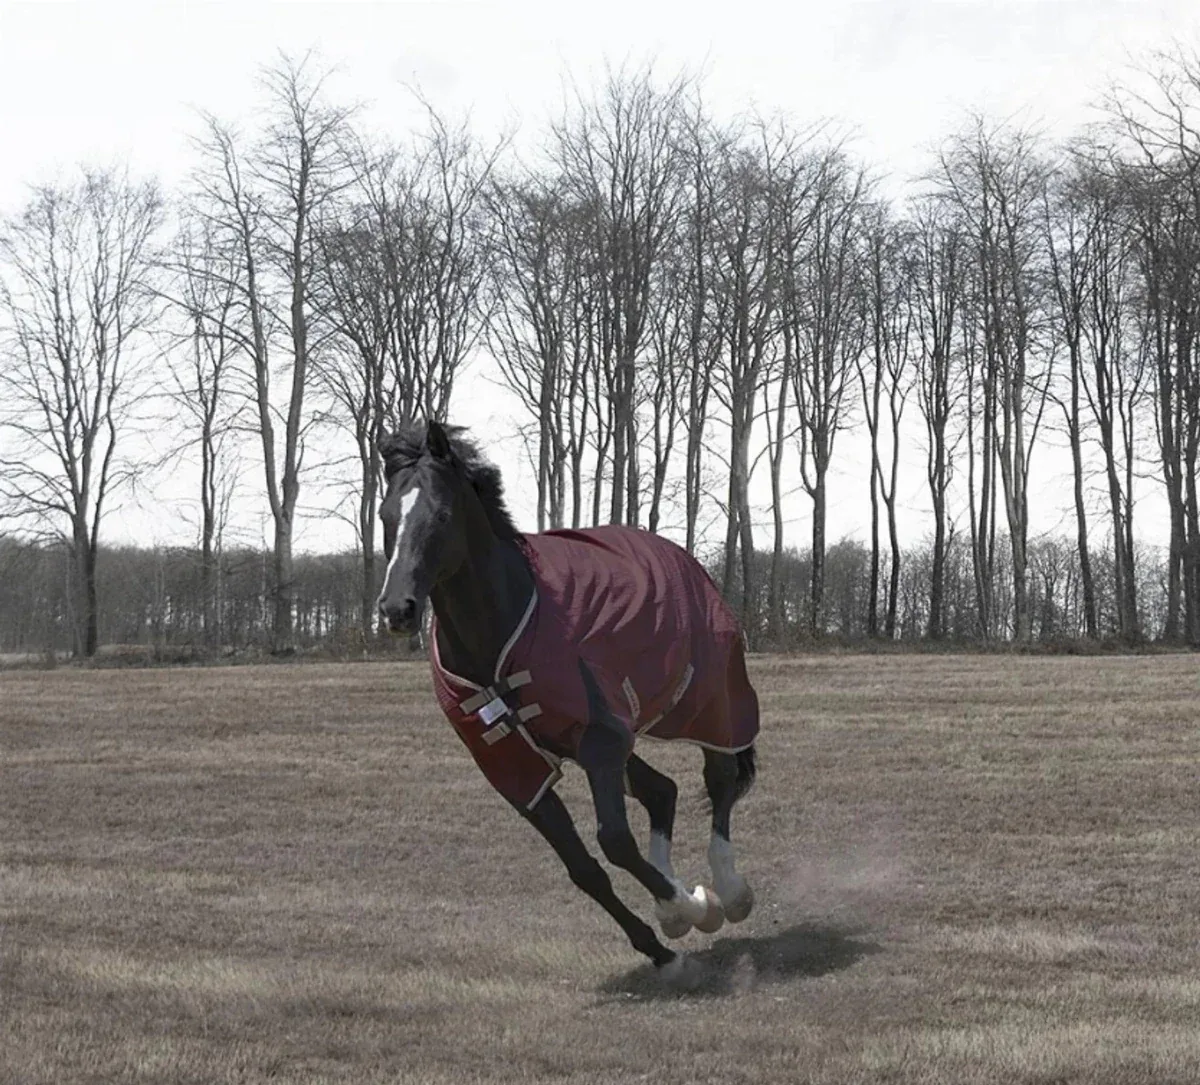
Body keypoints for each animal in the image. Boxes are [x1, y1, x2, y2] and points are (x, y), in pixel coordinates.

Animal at [376, 420, 760, 979]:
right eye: (387, 515)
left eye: (441, 514)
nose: (396, 608)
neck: (498, 635)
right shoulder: (516, 768)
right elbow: (583, 867)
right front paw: (662, 947)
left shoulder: (600, 740)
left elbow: (614, 841)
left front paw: (692, 906)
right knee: (662, 791)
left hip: (708, 700)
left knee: (721, 777)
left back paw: (729, 892)